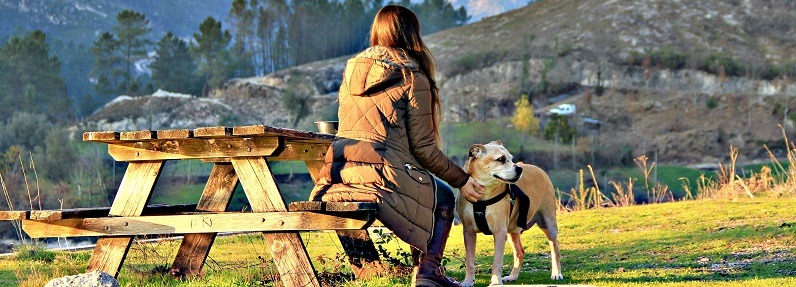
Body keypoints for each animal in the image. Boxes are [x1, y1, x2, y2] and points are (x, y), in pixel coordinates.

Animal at [458, 141, 564, 286]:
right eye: (500, 159)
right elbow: (469, 260)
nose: (519, 168)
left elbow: (497, 261)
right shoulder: (468, 231)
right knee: (520, 252)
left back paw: (556, 273)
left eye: (511, 158)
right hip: (512, 231)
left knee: (555, 249)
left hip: (548, 221)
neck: (483, 197)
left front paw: (495, 282)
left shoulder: (499, 231)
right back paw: (512, 276)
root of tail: (537, 168)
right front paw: (468, 281)